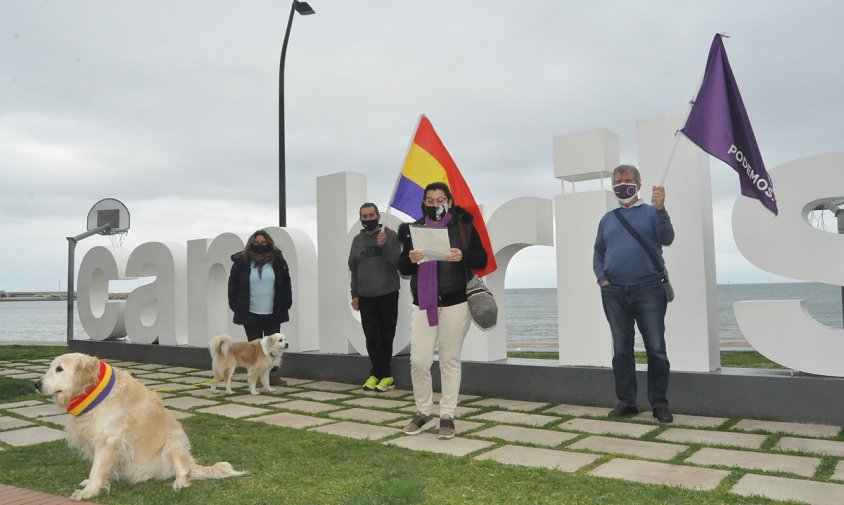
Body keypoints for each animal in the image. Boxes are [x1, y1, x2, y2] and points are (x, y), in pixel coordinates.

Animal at [36, 352, 247, 502]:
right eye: (51, 367)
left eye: (60, 369)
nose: (36, 384)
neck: (94, 392)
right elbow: (101, 469)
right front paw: (97, 484)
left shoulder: (108, 441)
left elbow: (96, 469)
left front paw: (88, 491)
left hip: (174, 443)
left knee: (184, 471)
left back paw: (179, 482)